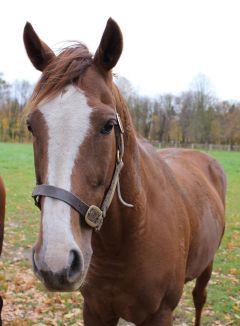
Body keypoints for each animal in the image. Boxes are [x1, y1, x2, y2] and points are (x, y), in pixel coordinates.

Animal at [23, 18, 226, 326]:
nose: (55, 262)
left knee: (199, 299)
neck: (127, 237)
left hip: (207, 266)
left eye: (108, 125)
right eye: (31, 126)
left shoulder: (160, 314)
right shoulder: (95, 310)